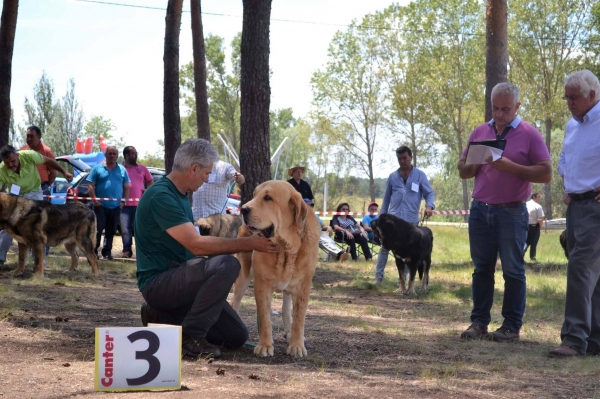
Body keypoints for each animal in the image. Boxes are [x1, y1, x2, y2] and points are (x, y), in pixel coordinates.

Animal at [232, 181, 322, 360]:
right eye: (255, 195)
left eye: (268, 198)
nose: (243, 209)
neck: (285, 249)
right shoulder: (262, 284)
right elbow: (265, 317)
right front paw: (265, 346)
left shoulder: (303, 286)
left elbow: (299, 318)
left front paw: (296, 345)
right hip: (243, 274)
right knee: (235, 300)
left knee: (286, 309)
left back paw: (289, 332)